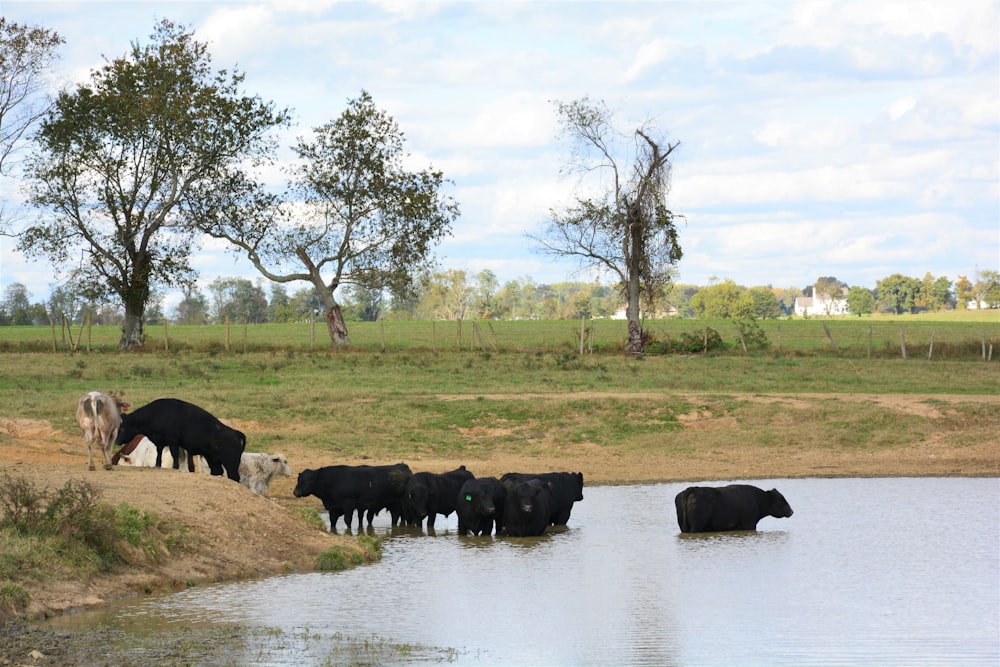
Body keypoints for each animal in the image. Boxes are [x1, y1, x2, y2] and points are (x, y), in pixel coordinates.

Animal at [114, 400, 244, 482]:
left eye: (123, 427)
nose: (116, 441)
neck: (156, 414)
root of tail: (235, 433)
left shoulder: (173, 442)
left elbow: (175, 456)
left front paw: (175, 467)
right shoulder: (160, 442)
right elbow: (159, 454)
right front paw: (157, 465)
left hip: (231, 463)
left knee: (234, 476)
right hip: (212, 459)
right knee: (217, 471)